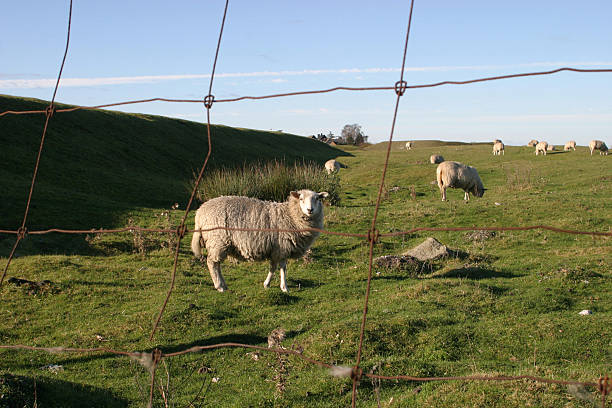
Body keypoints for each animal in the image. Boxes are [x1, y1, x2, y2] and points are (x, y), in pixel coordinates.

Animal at [191, 190, 328, 292]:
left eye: (317, 198)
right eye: (301, 199)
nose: (310, 210)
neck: (290, 215)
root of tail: (200, 212)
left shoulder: (276, 249)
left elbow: (273, 267)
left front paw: (267, 284)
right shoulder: (283, 247)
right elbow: (283, 268)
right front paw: (284, 287)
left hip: (219, 243)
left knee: (217, 264)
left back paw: (223, 284)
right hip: (217, 241)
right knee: (212, 263)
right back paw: (219, 286)